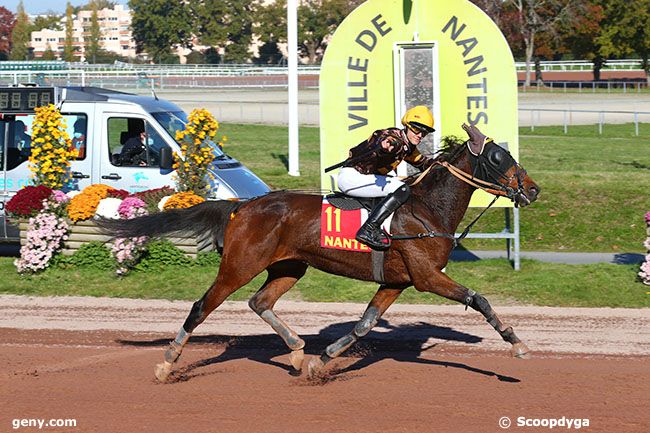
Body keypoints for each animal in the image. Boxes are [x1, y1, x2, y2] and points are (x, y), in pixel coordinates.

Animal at [98, 123, 540, 380]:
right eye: (499, 157)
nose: (533, 189)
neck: (427, 209)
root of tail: (242, 205)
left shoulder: (397, 281)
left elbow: (364, 325)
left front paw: (319, 359)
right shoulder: (428, 277)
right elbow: (479, 299)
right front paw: (517, 344)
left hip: (289, 267)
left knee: (260, 302)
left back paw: (296, 351)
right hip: (239, 265)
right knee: (201, 306)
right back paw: (167, 362)